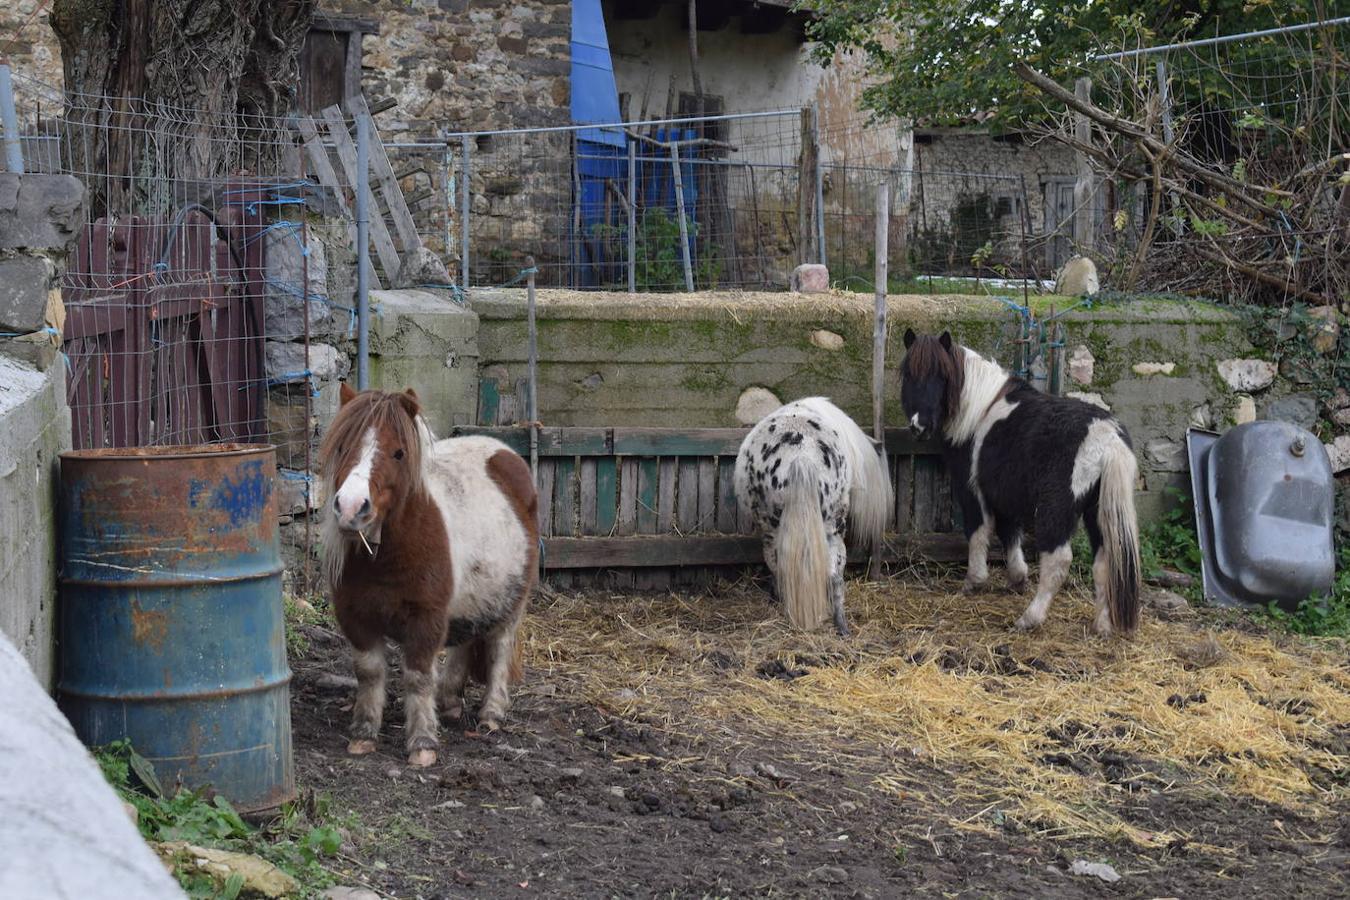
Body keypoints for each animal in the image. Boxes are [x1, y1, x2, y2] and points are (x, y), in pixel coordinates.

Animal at [319, 385, 537, 766]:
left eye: (399, 452)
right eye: (343, 446)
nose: (350, 508)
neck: (387, 558)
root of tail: (505, 453)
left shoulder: (426, 620)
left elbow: (418, 678)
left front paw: (422, 743)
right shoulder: (356, 619)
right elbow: (369, 672)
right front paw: (363, 734)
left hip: (511, 603)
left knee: (498, 647)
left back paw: (492, 714)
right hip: (471, 600)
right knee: (465, 643)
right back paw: (449, 703)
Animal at [734, 396, 891, 636]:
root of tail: (802, 454)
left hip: (777, 530)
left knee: (785, 567)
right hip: (830, 527)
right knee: (834, 574)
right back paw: (841, 626)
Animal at [896, 329, 1139, 634]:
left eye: (942, 375)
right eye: (908, 374)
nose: (920, 426)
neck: (979, 411)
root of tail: (1108, 438)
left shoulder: (972, 490)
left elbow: (979, 531)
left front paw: (974, 582)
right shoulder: (1005, 494)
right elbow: (1010, 534)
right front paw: (1017, 579)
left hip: (1056, 510)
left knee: (1058, 561)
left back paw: (1030, 618)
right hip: (1096, 512)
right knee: (1104, 562)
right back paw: (1103, 625)